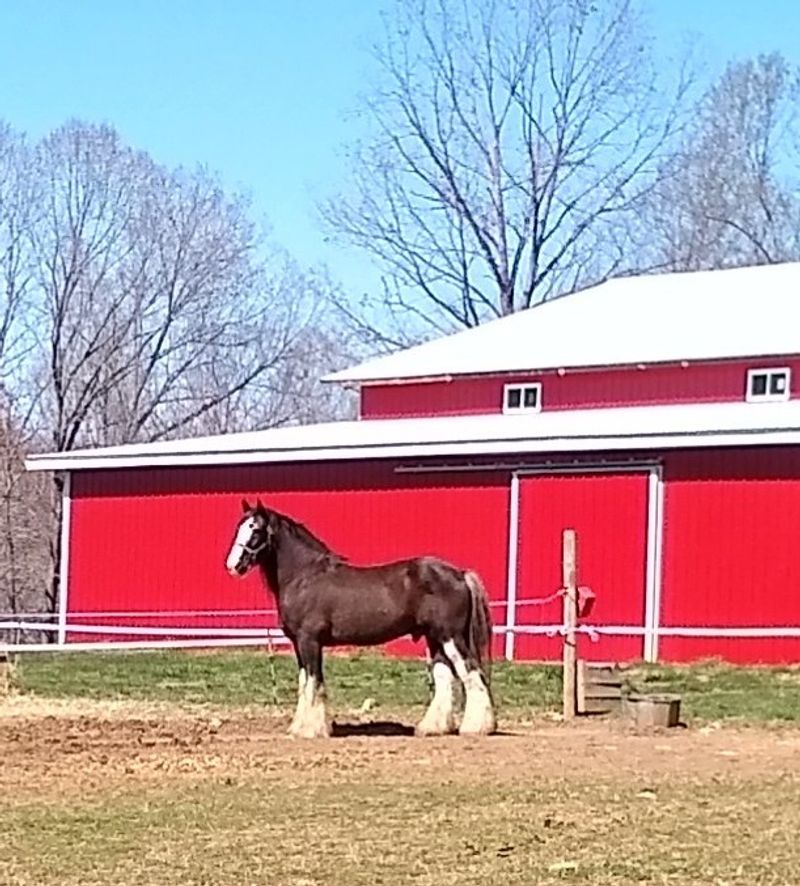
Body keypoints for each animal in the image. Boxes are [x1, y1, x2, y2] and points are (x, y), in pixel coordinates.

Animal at [225, 499, 497, 739]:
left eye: (255, 530)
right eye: (240, 527)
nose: (232, 566)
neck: (305, 577)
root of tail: (460, 574)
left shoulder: (309, 641)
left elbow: (313, 682)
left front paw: (311, 730)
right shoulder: (298, 644)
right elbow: (304, 683)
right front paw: (299, 727)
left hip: (451, 637)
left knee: (471, 673)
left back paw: (476, 728)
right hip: (435, 638)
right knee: (444, 677)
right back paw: (432, 728)